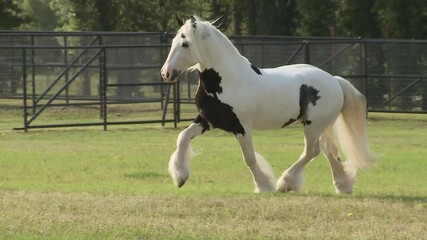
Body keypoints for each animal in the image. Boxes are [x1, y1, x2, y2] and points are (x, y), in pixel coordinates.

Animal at [160, 16, 374, 193]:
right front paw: (180, 176)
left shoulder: (241, 127)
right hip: (321, 126)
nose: (166, 73)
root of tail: (334, 80)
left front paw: (264, 185)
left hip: (313, 125)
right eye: (173, 41)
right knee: (329, 151)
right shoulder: (207, 120)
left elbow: (249, 158)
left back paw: (285, 183)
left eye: (185, 43)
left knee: (312, 151)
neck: (228, 80)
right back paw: (343, 185)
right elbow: (182, 137)